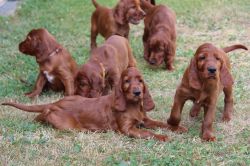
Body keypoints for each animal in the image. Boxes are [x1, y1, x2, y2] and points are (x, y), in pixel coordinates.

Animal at [2, 67, 170, 141]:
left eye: (140, 81)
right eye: (127, 81)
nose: (137, 92)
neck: (132, 105)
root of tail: (56, 102)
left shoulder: (144, 120)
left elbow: (160, 123)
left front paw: (174, 128)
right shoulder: (127, 129)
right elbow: (147, 133)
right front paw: (162, 137)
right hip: (65, 124)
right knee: (41, 117)